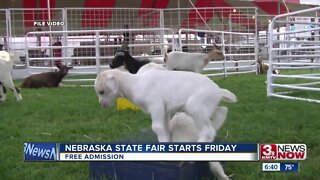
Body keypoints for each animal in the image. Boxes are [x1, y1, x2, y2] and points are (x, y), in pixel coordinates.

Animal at [94, 69, 236, 143]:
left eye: (101, 91)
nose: (101, 105)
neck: (136, 84)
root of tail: (219, 91)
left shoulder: (155, 105)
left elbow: (157, 127)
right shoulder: (165, 111)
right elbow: (166, 128)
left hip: (195, 107)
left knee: (207, 130)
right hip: (207, 107)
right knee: (222, 111)